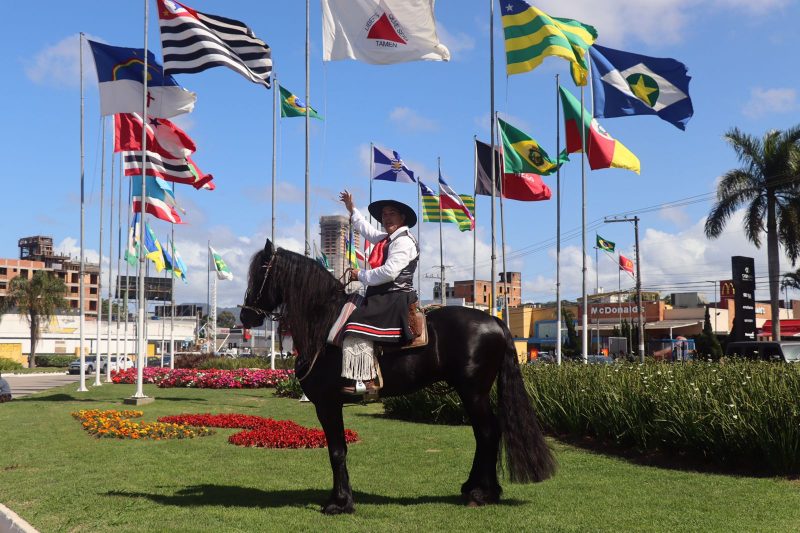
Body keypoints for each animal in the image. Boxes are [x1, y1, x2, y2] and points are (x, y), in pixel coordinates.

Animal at [241, 240, 552, 512]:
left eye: (260, 273)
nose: (246, 317)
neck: (323, 324)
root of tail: (496, 322)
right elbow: (337, 450)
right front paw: (340, 498)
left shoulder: (328, 404)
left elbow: (337, 450)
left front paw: (339, 503)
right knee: (485, 433)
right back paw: (476, 488)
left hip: (473, 392)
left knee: (487, 432)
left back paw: (480, 493)